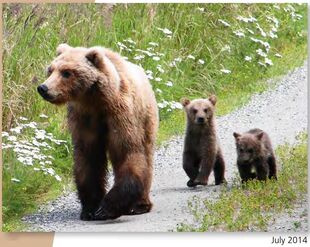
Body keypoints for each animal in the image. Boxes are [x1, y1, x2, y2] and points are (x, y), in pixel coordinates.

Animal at [37, 44, 159, 220]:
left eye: (66, 72)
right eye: (50, 70)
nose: (43, 88)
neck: (96, 100)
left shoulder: (121, 115)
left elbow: (127, 152)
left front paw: (106, 208)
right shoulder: (84, 119)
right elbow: (89, 159)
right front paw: (90, 208)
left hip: (146, 119)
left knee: (146, 156)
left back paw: (140, 205)